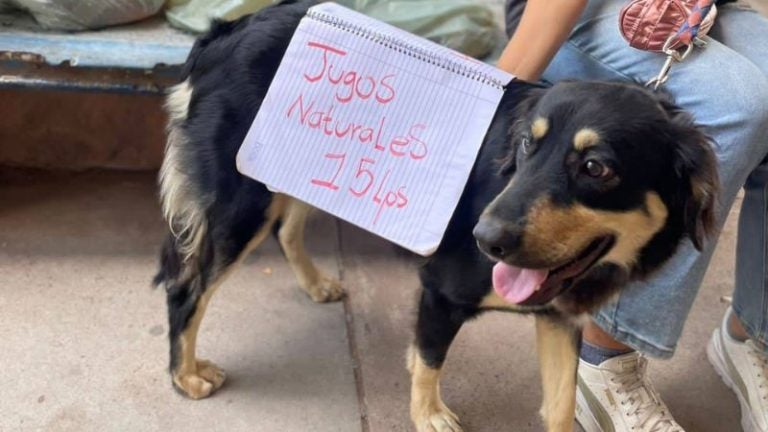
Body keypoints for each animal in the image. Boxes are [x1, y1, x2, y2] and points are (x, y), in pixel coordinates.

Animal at [154, 1, 720, 430]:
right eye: (525, 144)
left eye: (595, 167)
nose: (484, 238)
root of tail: (225, 32)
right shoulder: (441, 290)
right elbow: (430, 359)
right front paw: (427, 413)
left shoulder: (558, 319)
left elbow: (559, 406)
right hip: (239, 205)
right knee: (186, 289)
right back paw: (185, 376)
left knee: (288, 230)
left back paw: (315, 284)